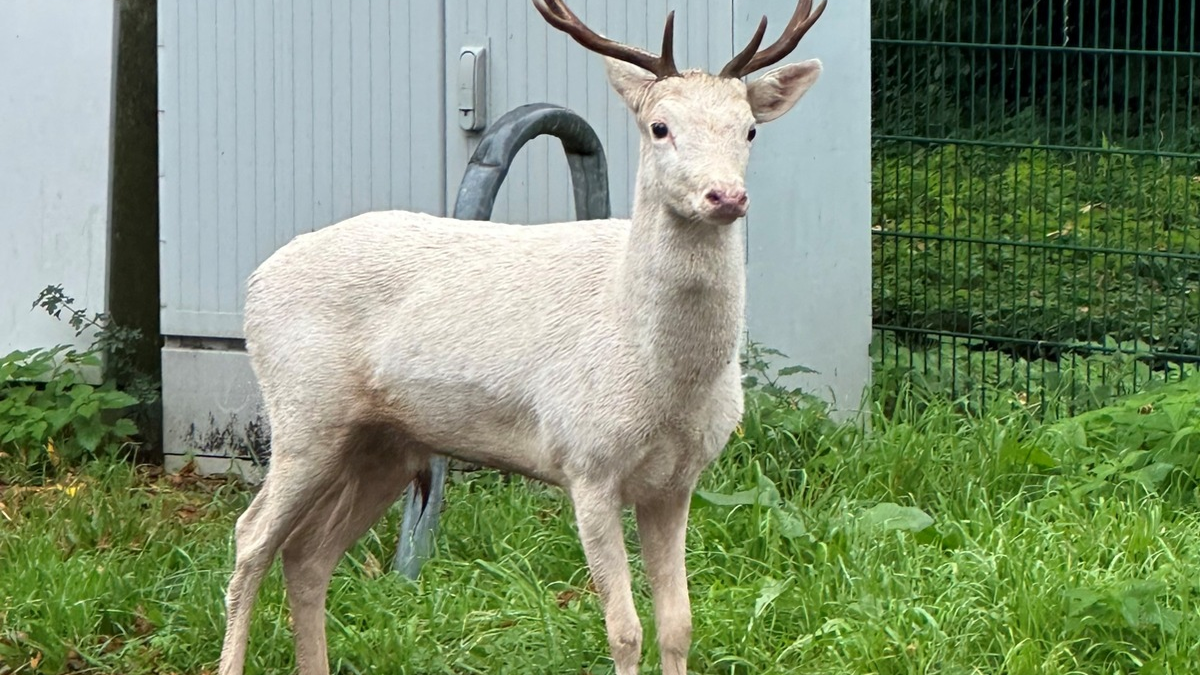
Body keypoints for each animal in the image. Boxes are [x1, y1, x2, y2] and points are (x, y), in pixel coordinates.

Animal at [216, 1, 826, 674]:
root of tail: (254, 284)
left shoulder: (678, 481)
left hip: (385, 443)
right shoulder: (587, 461)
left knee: (307, 554)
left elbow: (678, 624)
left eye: (749, 130)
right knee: (251, 537)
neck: (663, 379)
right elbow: (624, 629)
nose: (726, 196)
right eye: (660, 127)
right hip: (304, 412)